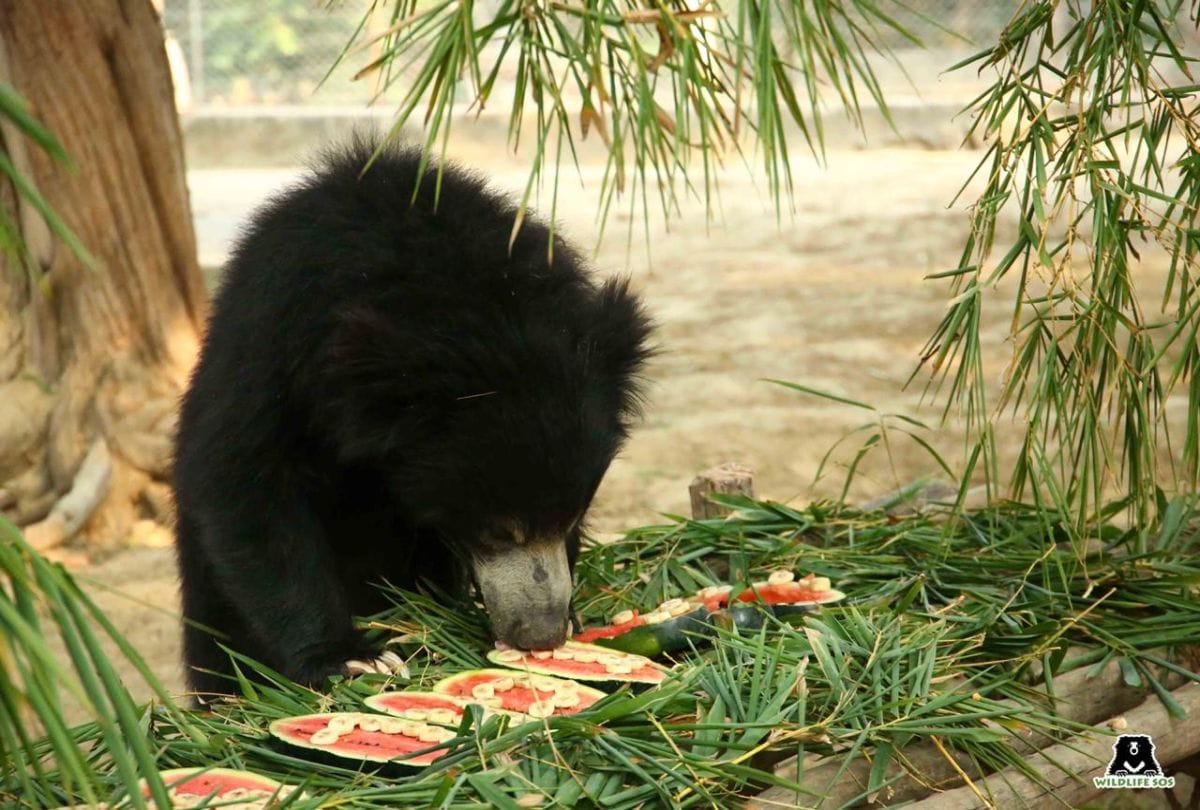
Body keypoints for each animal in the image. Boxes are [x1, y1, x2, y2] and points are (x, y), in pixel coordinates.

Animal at [173, 137, 652, 699]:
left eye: (574, 518)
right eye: (494, 530)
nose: (542, 633)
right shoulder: (270, 345)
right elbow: (247, 489)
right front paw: (352, 658)